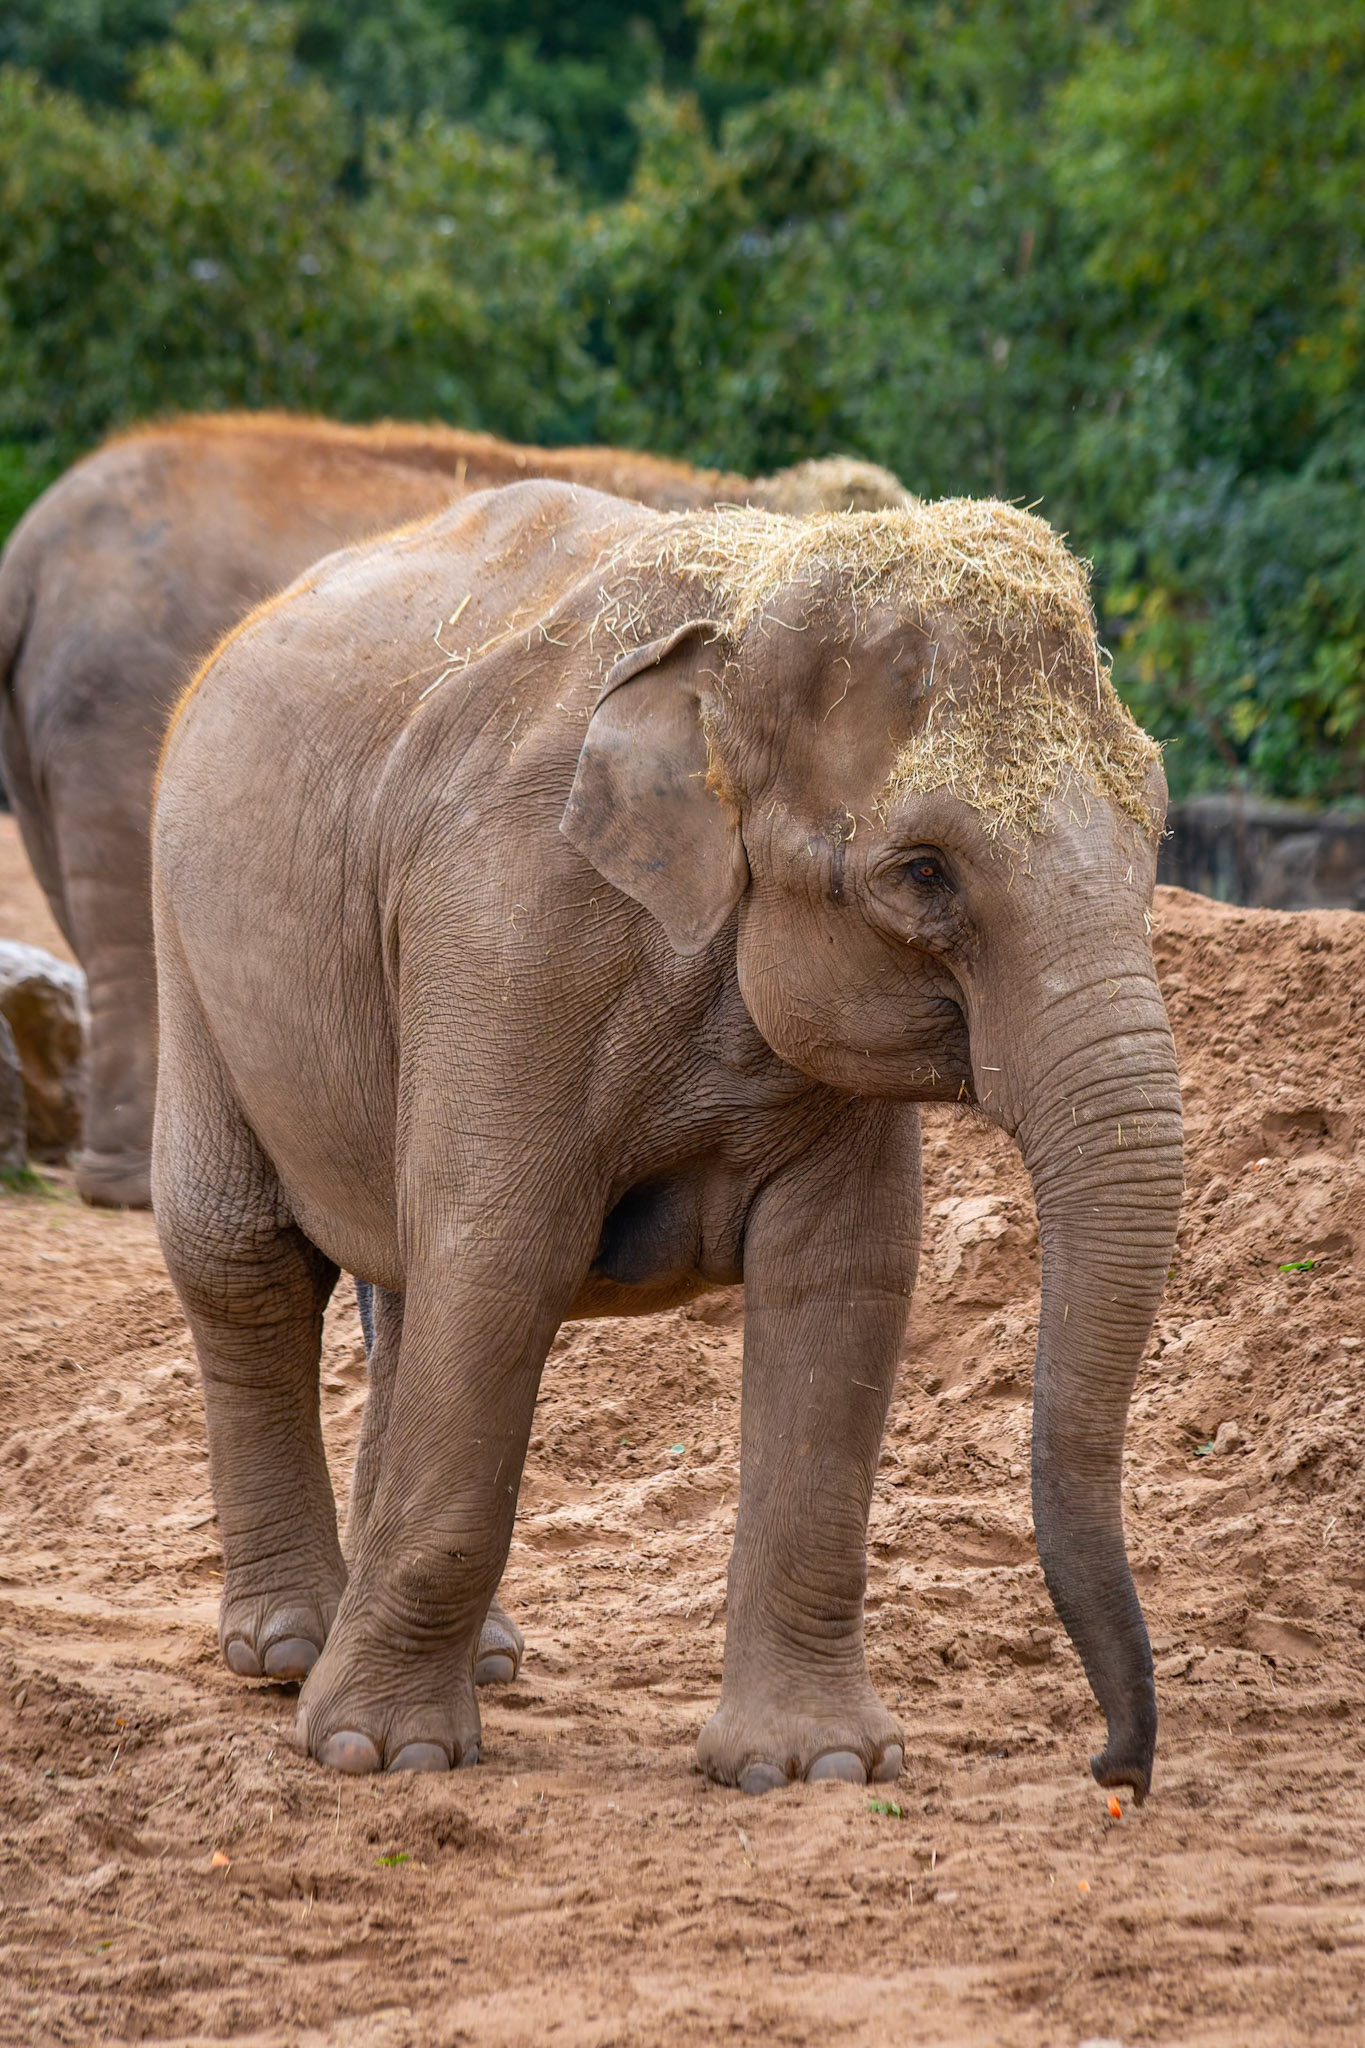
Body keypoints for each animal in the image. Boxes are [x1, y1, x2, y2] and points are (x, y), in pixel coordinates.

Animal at [151, 478, 1182, 1796]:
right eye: (924, 873)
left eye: (1157, 822)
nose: (1116, 1770)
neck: (740, 620)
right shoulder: (509, 924)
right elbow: (504, 1255)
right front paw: (381, 1755)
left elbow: (845, 1274)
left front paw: (812, 1768)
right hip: (190, 950)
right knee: (248, 1256)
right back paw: (289, 1651)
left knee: (401, 1285)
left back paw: (470, 1654)